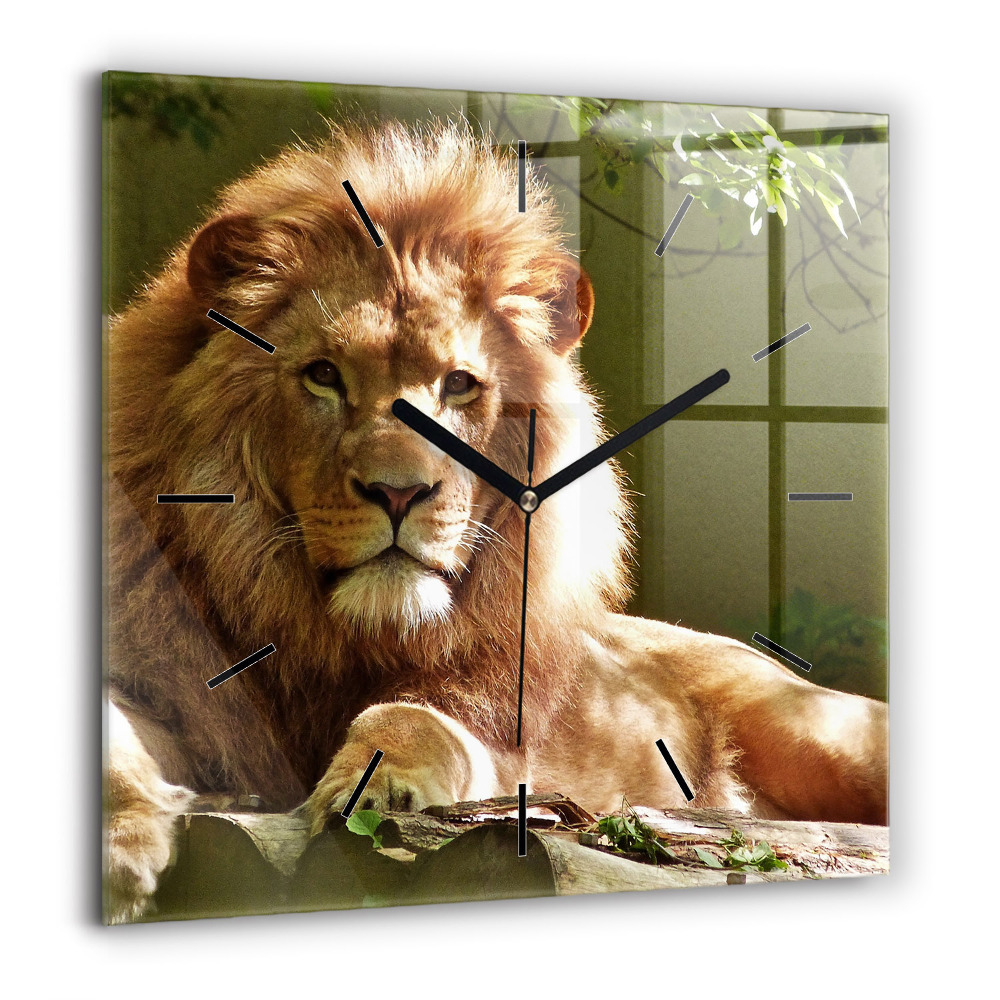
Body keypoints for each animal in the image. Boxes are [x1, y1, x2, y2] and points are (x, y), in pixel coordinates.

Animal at [105, 120, 888, 923]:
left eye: (458, 385)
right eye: (323, 375)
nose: (400, 493)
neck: (334, 635)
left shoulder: (511, 749)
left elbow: (412, 718)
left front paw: (378, 787)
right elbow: (111, 733)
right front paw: (120, 846)